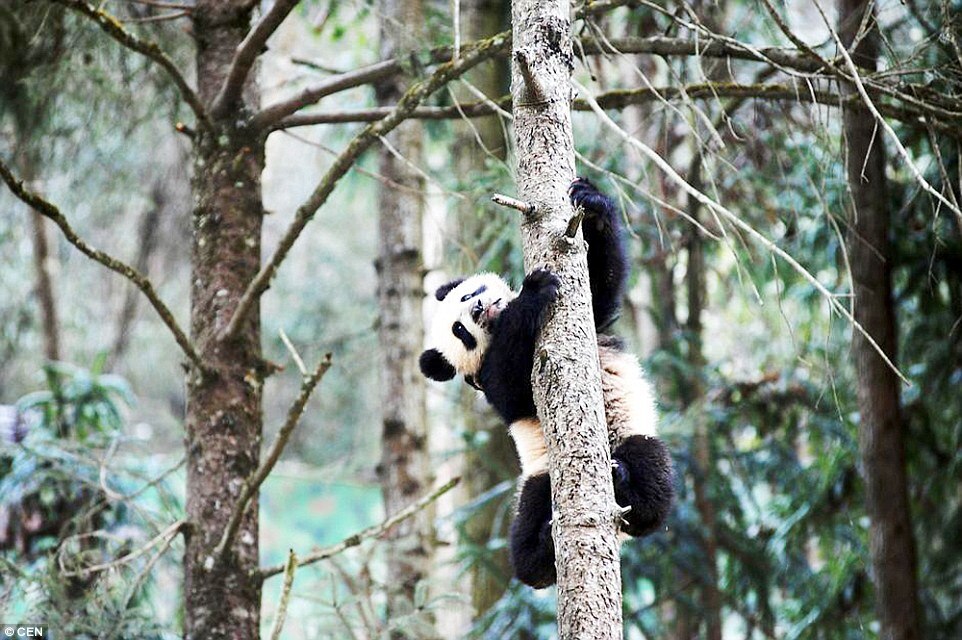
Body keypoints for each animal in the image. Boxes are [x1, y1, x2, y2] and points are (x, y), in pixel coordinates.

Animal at [419, 178, 674, 588]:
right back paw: (543, 543)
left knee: (653, 482)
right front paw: (533, 293)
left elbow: (601, 287)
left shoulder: (594, 325)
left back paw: (623, 481)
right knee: (524, 548)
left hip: (634, 434)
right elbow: (511, 386)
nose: (477, 308)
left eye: (469, 294)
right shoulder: (491, 380)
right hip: (538, 480)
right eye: (459, 330)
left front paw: (591, 202)